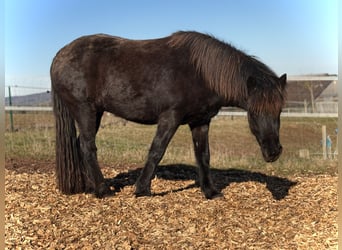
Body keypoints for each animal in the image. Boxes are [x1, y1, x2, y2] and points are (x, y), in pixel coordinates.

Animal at [50, 31, 286, 199]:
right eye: (253, 112)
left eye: (280, 110)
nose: (274, 152)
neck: (200, 73)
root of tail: (60, 55)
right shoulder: (170, 117)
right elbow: (157, 151)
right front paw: (142, 189)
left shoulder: (201, 121)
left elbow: (203, 155)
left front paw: (210, 192)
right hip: (85, 110)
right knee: (87, 146)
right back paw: (103, 190)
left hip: (95, 112)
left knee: (80, 144)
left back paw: (90, 186)